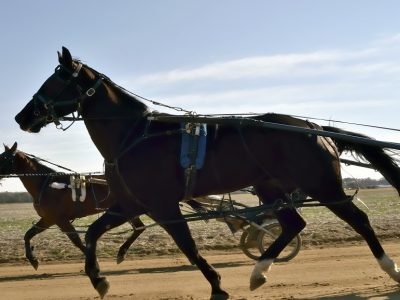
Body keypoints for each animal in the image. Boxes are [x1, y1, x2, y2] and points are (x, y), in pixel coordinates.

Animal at [0, 142, 145, 270]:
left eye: (4, 157)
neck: (46, 186)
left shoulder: (59, 219)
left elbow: (76, 240)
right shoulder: (48, 219)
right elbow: (28, 235)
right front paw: (33, 260)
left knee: (139, 227)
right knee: (139, 227)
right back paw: (121, 253)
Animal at [15, 45, 400, 298]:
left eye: (56, 80)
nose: (22, 116)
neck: (134, 135)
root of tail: (314, 128)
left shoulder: (163, 206)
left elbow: (188, 247)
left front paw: (216, 286)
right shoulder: (130, 203)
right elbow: (94, 233)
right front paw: (99, 280)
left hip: (321, 183)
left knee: (358, 220)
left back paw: (390, 268)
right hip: (270, 186)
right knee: (293, 224)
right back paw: (259, 272)